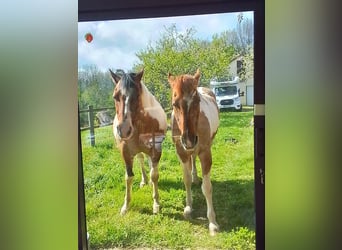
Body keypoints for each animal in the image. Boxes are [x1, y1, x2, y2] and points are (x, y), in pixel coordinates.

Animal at [109, 68, 168, 215]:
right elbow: (129, 177)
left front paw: (156, 204)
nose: (123, 130)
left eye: (136, 96)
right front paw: (125, 206)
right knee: (141, 159)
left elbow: (155, 174)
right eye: (115, 96)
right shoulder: (125, 152)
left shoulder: (156, 149)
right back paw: (144, 180)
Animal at [168, 69, 220, 235]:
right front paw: (188, 207)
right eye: (174, 104)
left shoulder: (205, 153)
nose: (189, 139)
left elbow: (207, 188)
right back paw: (195, 177)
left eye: (197, 101)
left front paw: (212, 222)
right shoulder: (181, 152)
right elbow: (186, 180)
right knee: (192, 160)